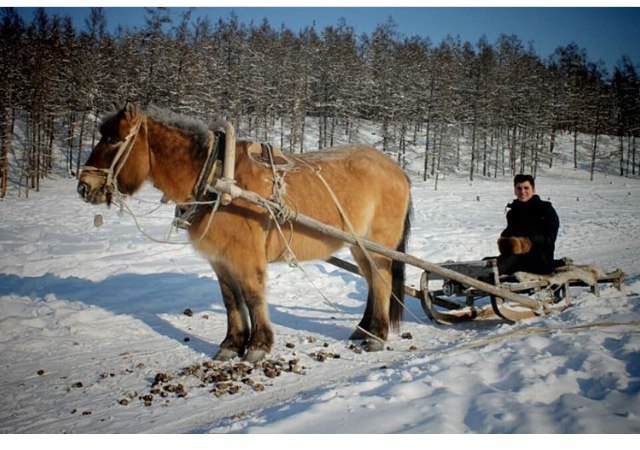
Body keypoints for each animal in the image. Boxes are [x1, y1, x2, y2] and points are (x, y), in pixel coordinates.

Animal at [77, 102, 412, 362]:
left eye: (112, 138)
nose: (84, 187)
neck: (216, 180)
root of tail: (397, 170)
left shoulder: (246, 257)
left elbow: (252, 297)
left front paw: (258, 346)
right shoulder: (220, 259)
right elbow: (230, 300)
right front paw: (232, 345)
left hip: (377, 243)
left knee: (382, 281)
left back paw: (376, 336)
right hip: (358, 245)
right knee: (371, 281)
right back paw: (363, 329)